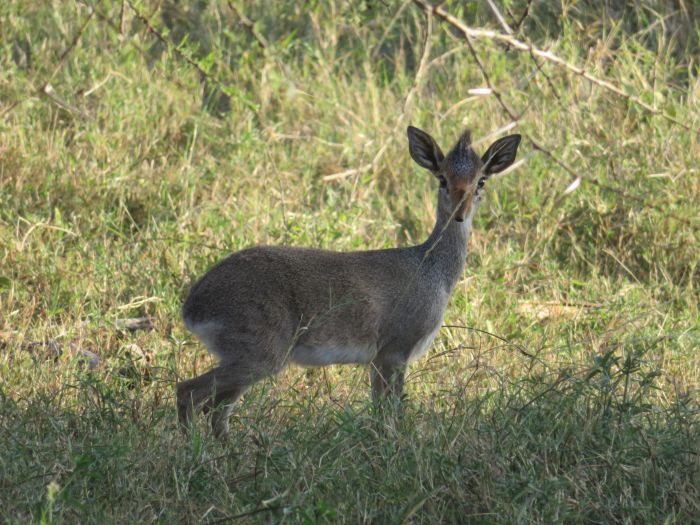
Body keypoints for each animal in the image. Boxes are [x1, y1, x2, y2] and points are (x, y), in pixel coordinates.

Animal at [179, 125, 520, 436]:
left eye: (481, 180)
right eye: (442, 178)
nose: (460, 214)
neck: (431, 270)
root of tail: (193, 307)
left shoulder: (379, 359)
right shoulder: (395, 351)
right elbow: (390, 413)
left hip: (247, 358)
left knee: (216, 410)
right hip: (260, 354)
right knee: (188, 391)